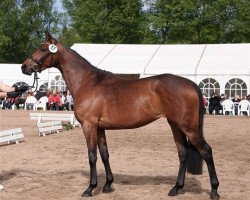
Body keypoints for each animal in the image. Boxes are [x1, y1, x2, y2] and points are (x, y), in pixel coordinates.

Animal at [22, 32, 220, 199]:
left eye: (43, 48)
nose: (25, 67)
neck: (87, 82)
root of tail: (191, 83)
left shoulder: (89, 126)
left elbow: (92, 156)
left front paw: (90, 188)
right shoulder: (100, 128)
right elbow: (104, 154)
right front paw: (108, 185)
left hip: (188, 127)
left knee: (206, 151)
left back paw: (214, 190)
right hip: (175, 125)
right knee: (183, 154)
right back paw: (176, 188)